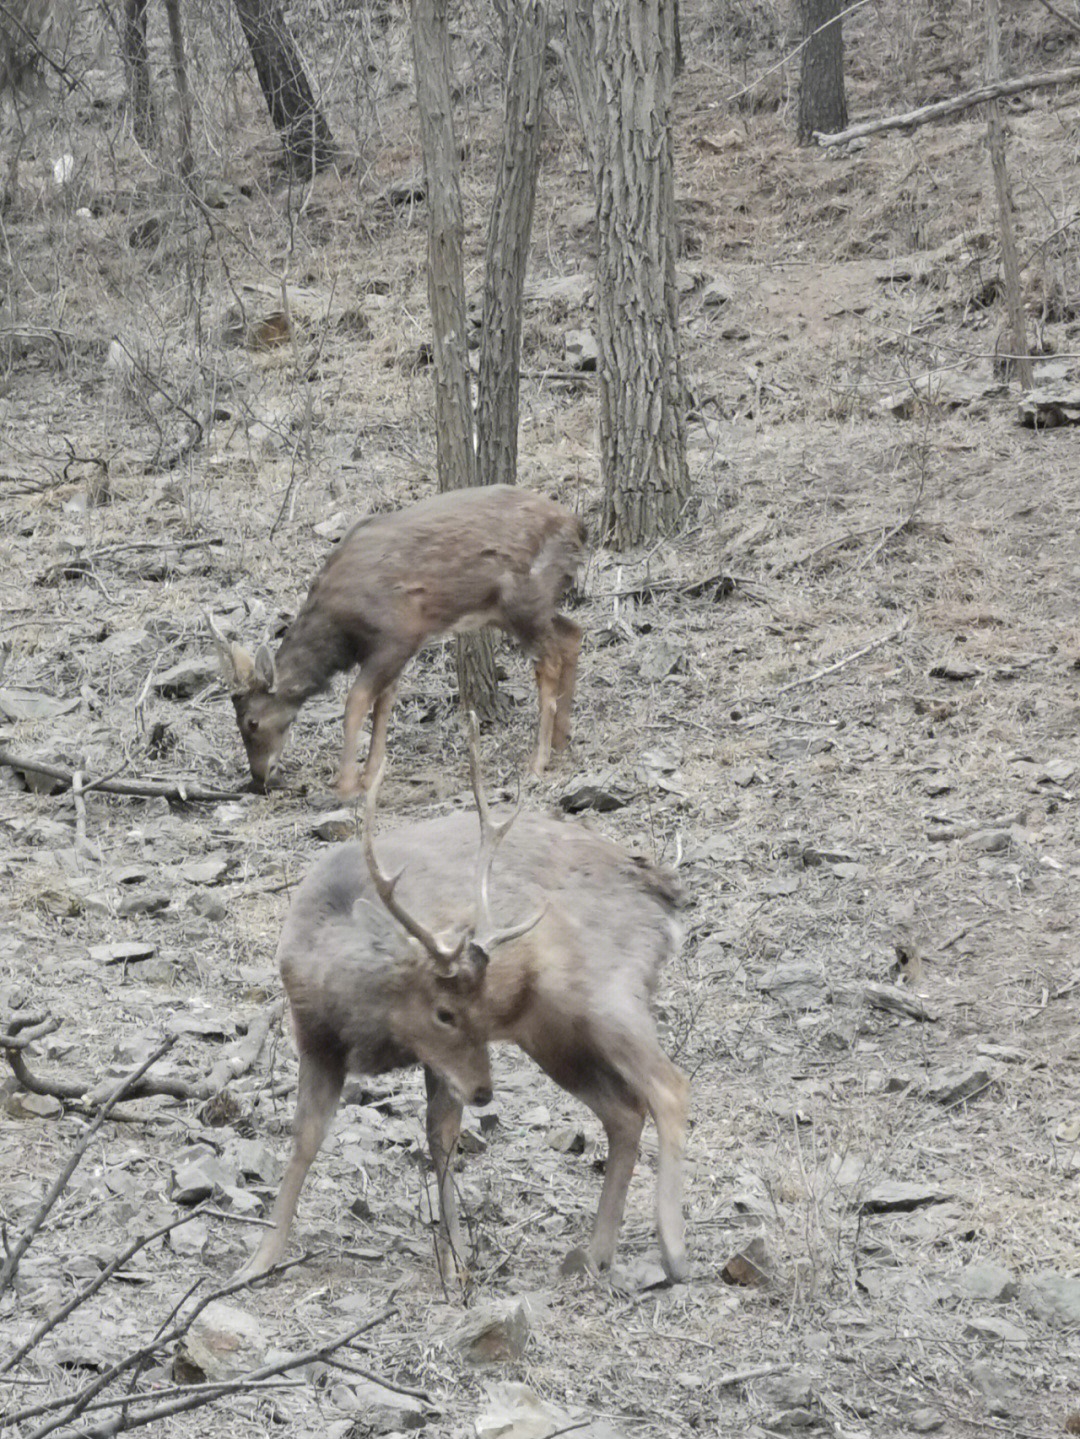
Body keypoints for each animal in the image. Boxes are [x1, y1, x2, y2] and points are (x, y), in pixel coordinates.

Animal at [207, 483, 586, 800]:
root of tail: (578, 529)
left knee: (548, 660)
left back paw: (538, 761)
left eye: (251, 721)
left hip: (523, 598)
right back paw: (563, 742)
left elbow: (356, 702)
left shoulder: (399, 634)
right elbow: (384, 702)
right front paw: (370, 775)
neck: (341, 634)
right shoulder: (388, 652)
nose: (259, 777)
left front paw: (346, 785)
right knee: (572, 632)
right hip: (522, 607)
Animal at [240, 725, 687, 1289]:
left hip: (606, 993)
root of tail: (664, 897)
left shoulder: (433, 1061)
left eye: (482, 1004)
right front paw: (259, 1259)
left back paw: (674, 1253)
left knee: (670, 1087)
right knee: (625, 1111)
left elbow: (442, 1139)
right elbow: (305, 1138)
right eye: (445, 1013)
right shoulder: (315, 1039)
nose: (484, 1092)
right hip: (552, 1034)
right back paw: (595, 1255)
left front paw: (454, 1264)